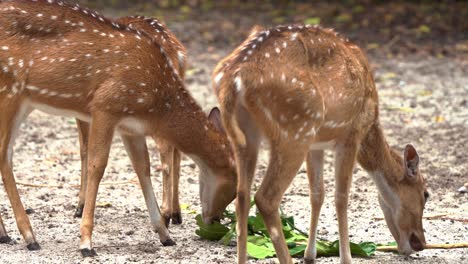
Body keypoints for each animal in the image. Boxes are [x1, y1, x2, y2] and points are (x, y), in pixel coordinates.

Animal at [74, 14, 187, 227]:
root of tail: (177, 52)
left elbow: (85, 151)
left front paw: (80, 207)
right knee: (178, 150)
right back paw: (176, 214)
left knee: (166, 150)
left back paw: (166, 214)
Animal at [214, 23, 430, 262]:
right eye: (425, 194)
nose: (421, 243)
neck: (371, 124)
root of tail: (234, 79)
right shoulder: (350, 135)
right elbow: (341, 197)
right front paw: (346, 258)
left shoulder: (316, 145)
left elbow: (317, 194)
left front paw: (310, 254)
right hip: (295, 129)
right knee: (265, 198)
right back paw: (287, 257)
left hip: (248, 135)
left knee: (242, 196)